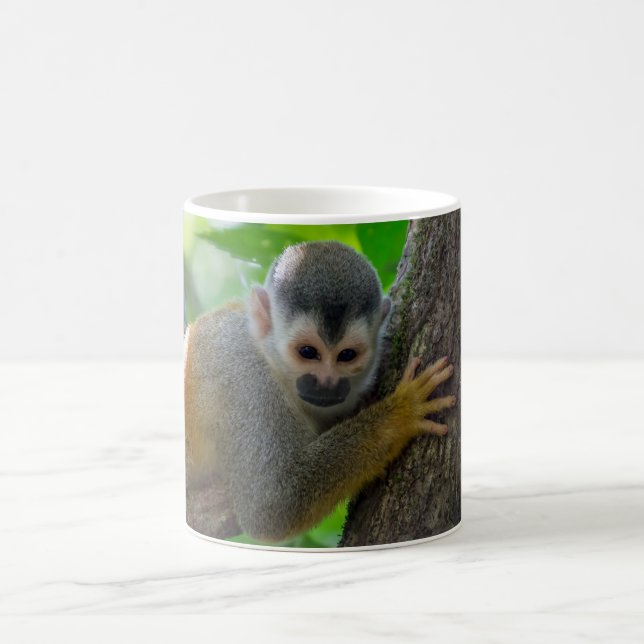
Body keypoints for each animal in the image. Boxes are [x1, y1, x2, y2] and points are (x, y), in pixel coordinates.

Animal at [185, 240, 456, 543]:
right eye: (307, 352)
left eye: (346, 355)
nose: (326, 383)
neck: (271, 361)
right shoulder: (244, 376)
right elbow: (272, 503)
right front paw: (402, 413)